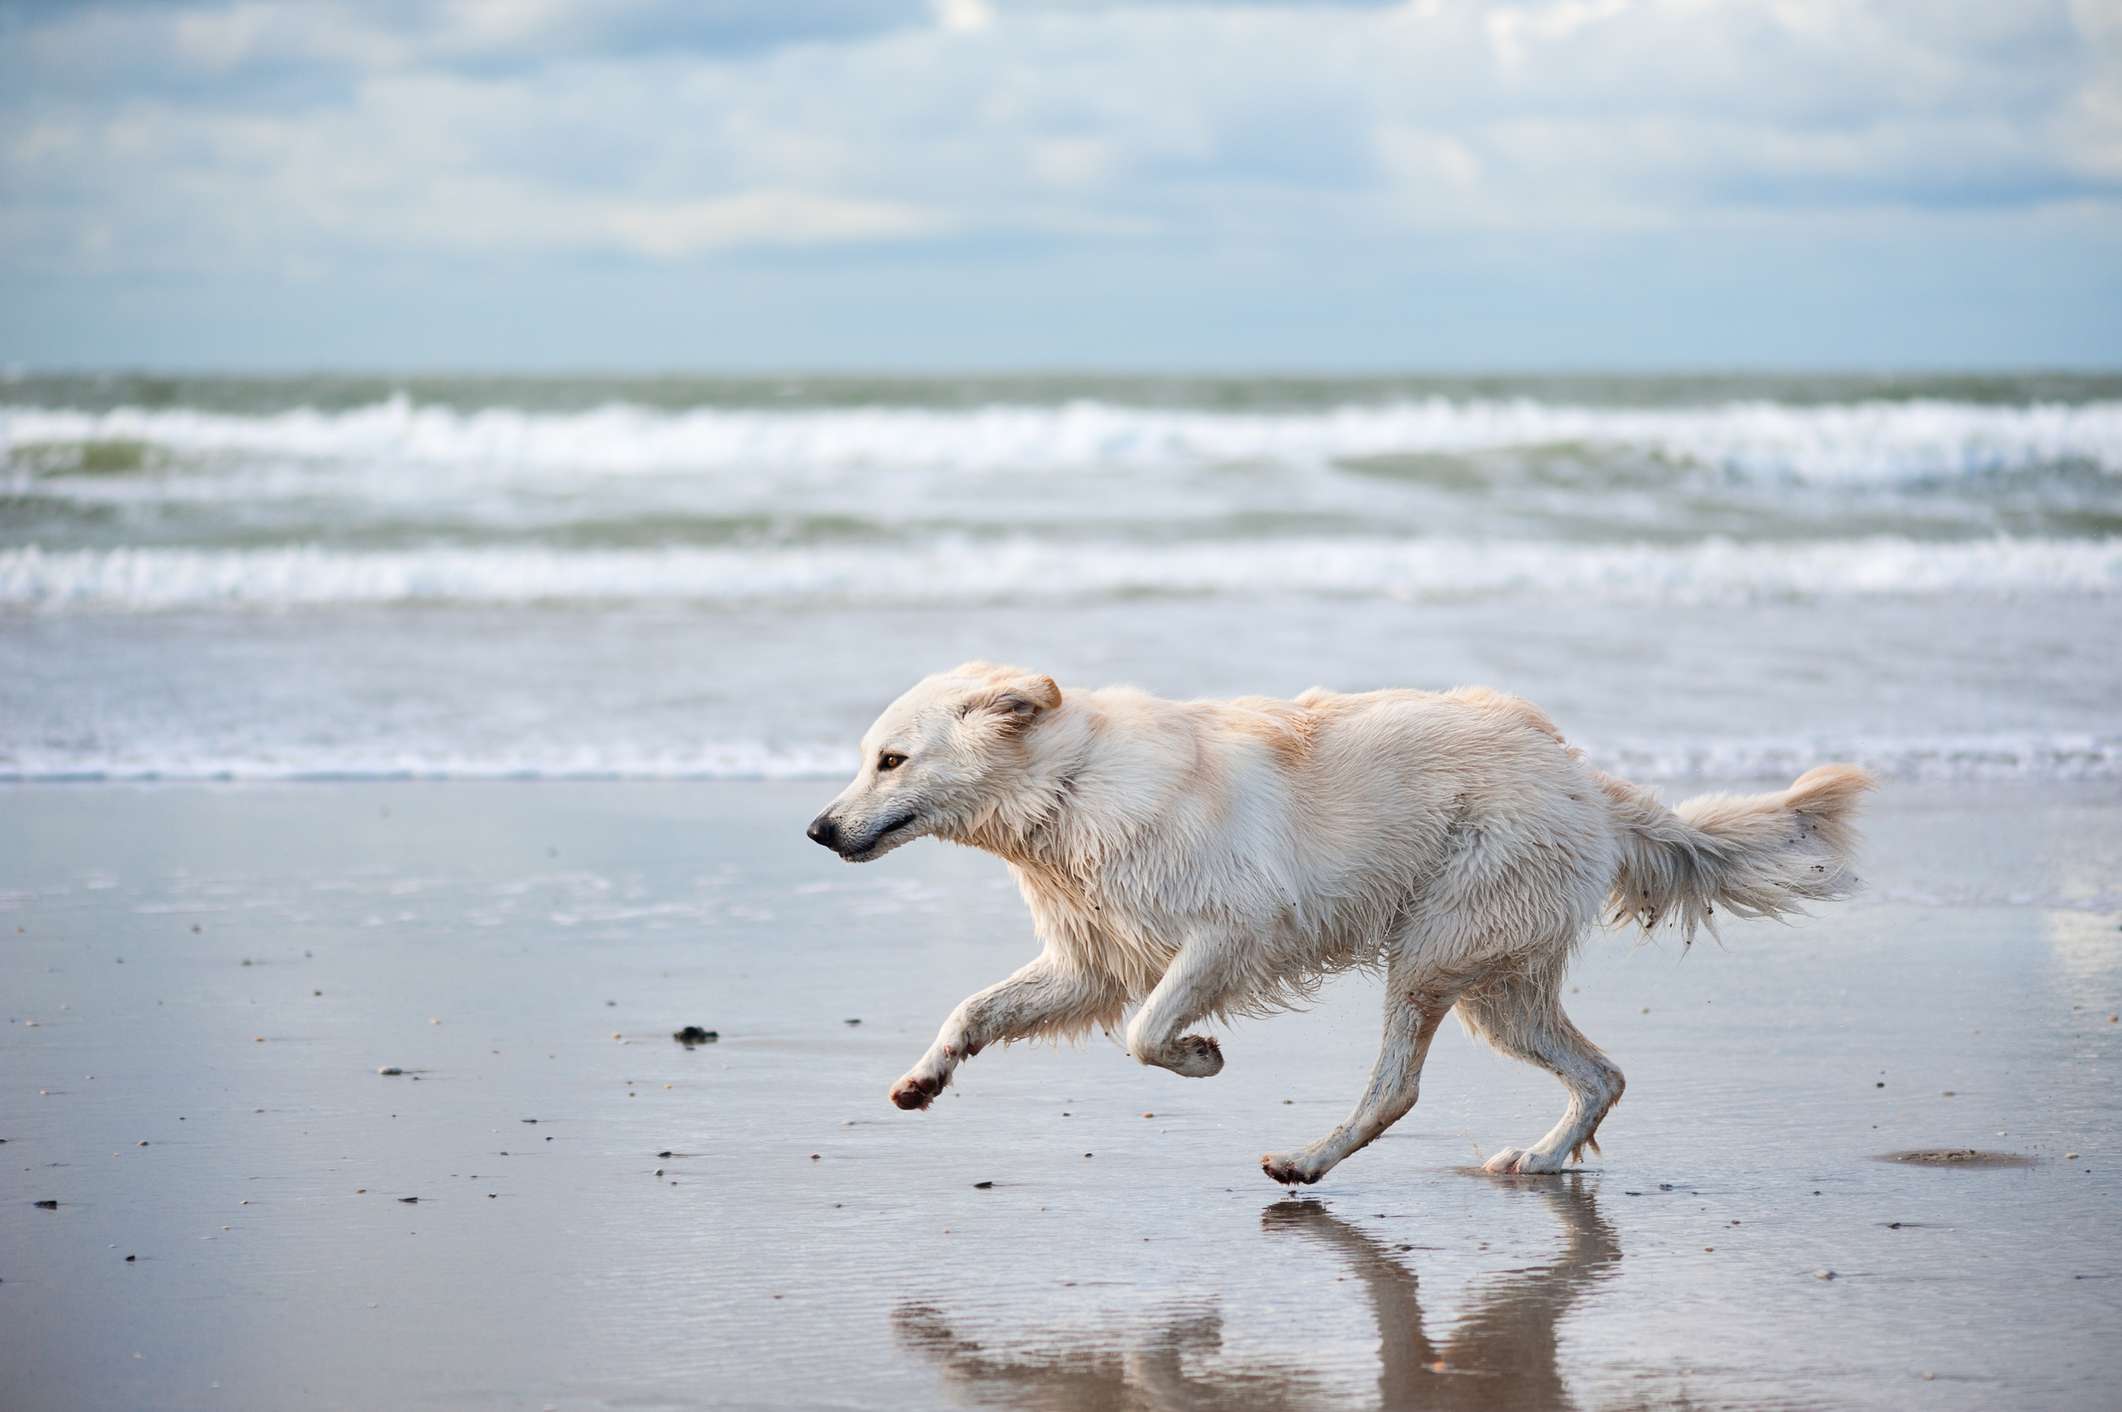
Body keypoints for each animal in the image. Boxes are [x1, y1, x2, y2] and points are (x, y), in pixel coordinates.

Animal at [802, 662, 1867, 1180]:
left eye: (891, 760)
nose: (817, 830)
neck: (1073, 790)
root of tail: (1587, 782)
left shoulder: (1231, 934)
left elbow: (1145, 1031)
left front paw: (1199, 1056)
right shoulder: (1090, 962)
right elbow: (976, 1009)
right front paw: (922, 1081)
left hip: (1435, 952)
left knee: (1397, 1089)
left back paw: (1307, 1162)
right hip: (1495, 985)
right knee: (1601, 1073)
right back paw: (1539, 1161)